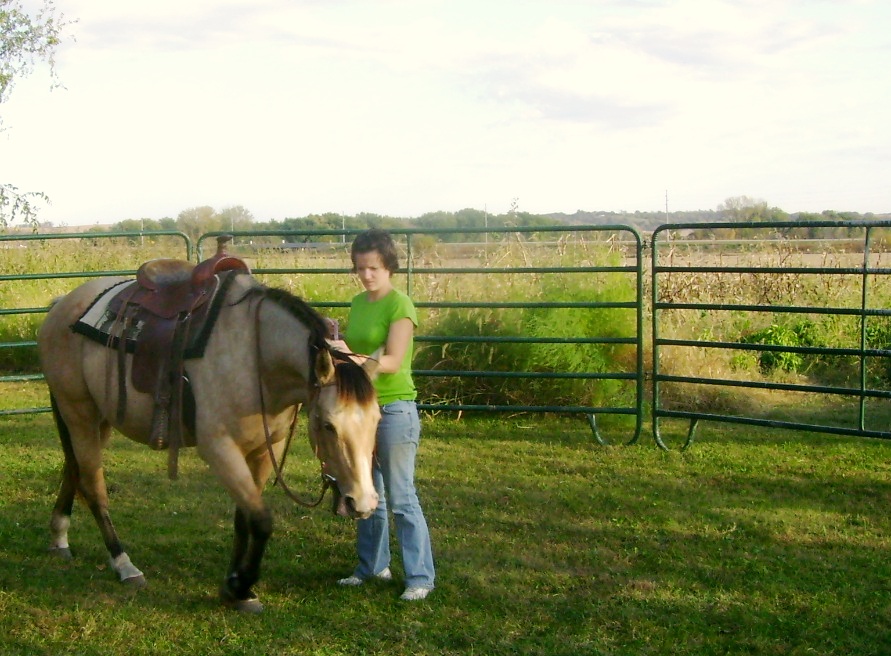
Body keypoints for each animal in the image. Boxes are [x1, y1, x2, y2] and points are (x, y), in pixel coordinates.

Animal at [36, 245, 380, 608]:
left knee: (73, 469)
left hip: (98, 419)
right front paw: (241, 585)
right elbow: (261, 520)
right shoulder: (219, 448)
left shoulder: (263, 449)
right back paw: (124, 564)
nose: (364, 503)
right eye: (328, 425)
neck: (256, 357)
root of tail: (61, 305)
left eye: (377, 420)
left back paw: (59, 538)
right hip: (79, 412)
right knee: (93, 485)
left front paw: (234, 586)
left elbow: (245, 517)